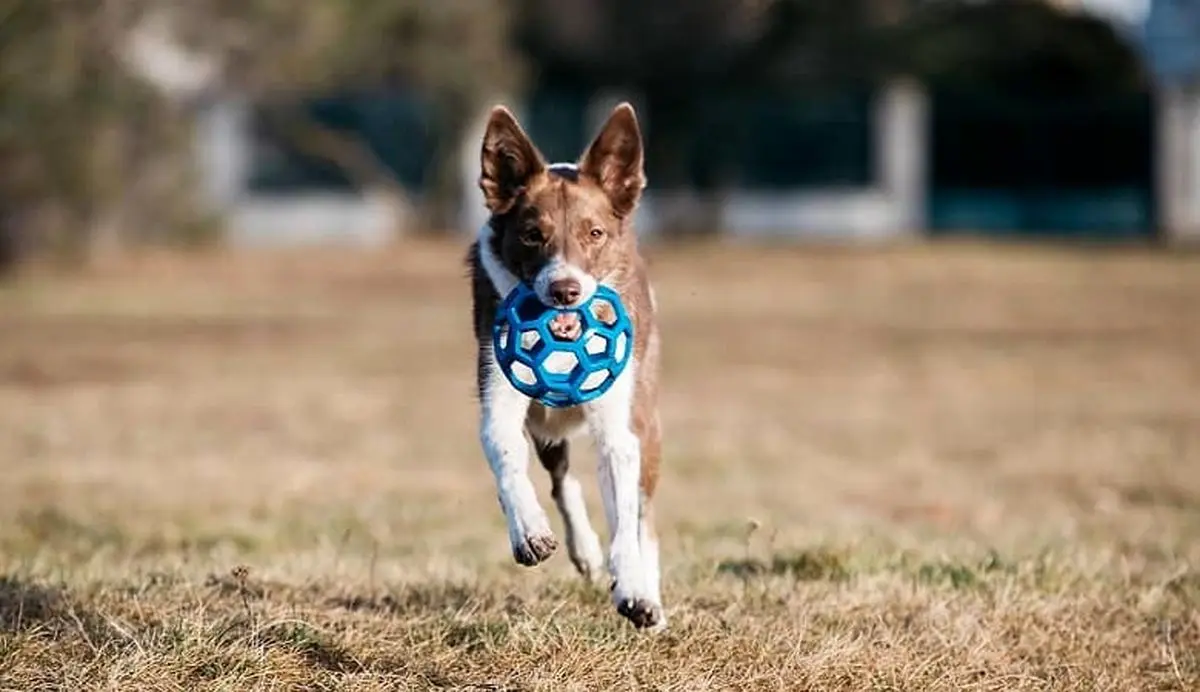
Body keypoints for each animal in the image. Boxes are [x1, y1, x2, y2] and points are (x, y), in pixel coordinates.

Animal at [463, 103, 667, 633]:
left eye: (594, 234)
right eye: (532, 236)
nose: (565, 291)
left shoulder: (620, 422)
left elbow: (627, 516)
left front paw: (635, 590)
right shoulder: (500, 390)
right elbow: (506, 456)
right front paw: (529, 532)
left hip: (646, 415)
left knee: (641, 514)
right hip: (545, 425)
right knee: (561, 479)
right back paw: (585, 551)